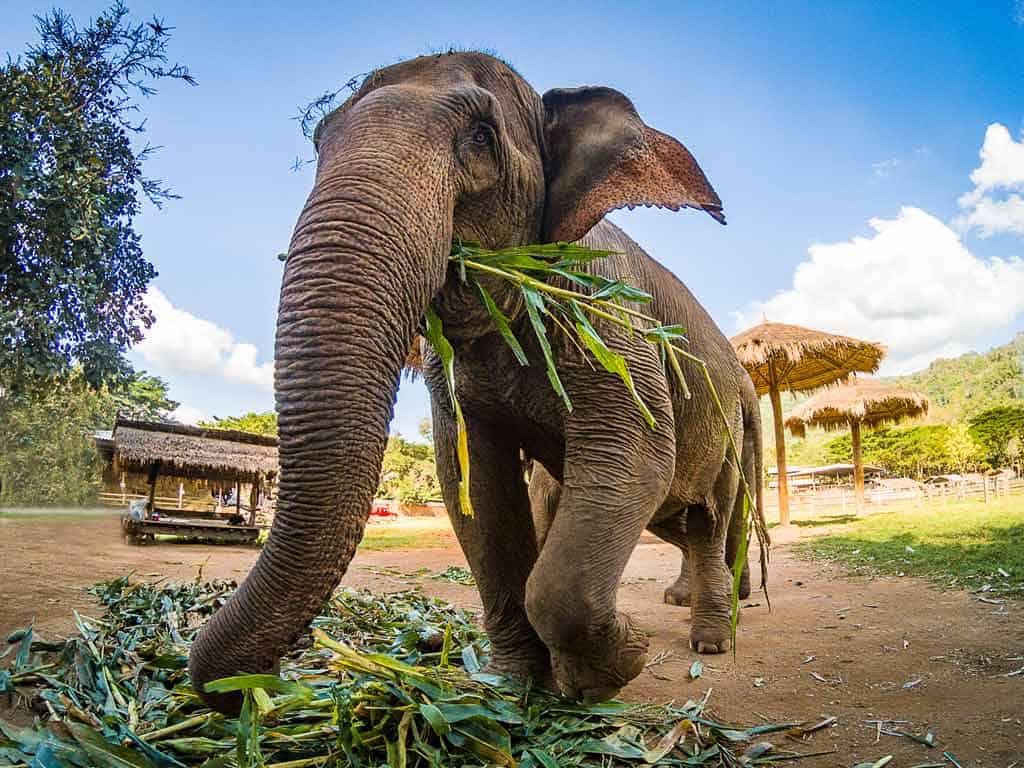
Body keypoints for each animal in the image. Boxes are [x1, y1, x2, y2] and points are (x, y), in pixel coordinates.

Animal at [188, 50, 767, 715]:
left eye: (482, 138)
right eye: (318, 144)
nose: (253, 687)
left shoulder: (606, 314)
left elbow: (637, 449)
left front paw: (614, 667)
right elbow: (474, 483)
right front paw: (515, 686)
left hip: (732, 426)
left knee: (710, 517)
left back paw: (711, 640)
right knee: (685, 518)